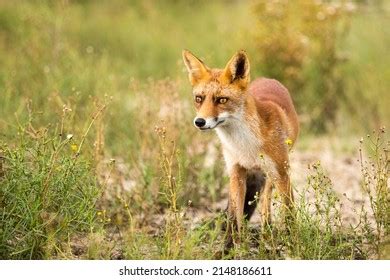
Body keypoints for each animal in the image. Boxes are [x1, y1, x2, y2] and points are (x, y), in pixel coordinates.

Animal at [183, 49, 298, 241]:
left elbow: (289, 213)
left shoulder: (281, 173)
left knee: (266, 200)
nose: (199, 122)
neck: (245, 145)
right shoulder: (236, 171)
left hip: (272, 172)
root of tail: (268, 79)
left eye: (222, 100)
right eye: (199, 98)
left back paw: (267, 230)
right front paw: (230, 245)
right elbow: (233, 217)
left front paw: (293, 241)